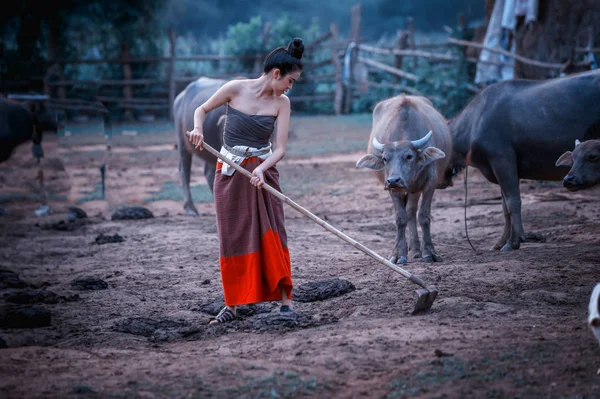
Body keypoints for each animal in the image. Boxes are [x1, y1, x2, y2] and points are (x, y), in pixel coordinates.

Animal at [356, 94, 450, 266]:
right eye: (385, 159)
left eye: (409, 156)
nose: (394, 180)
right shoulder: (393, 189)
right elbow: (400, 218)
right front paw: (398, 254)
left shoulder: (430, 183)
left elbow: (424, 216)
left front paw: (429, 252)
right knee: (409, 212)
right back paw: (412, 249)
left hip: (415, 189)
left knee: (412, 211)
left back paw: (417, 249)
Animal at [440, 69, 600, 250]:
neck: (474, 122)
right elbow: (504, 207)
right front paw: (500, 243)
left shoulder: (502, 159)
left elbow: (513, 202)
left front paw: (513, 242)